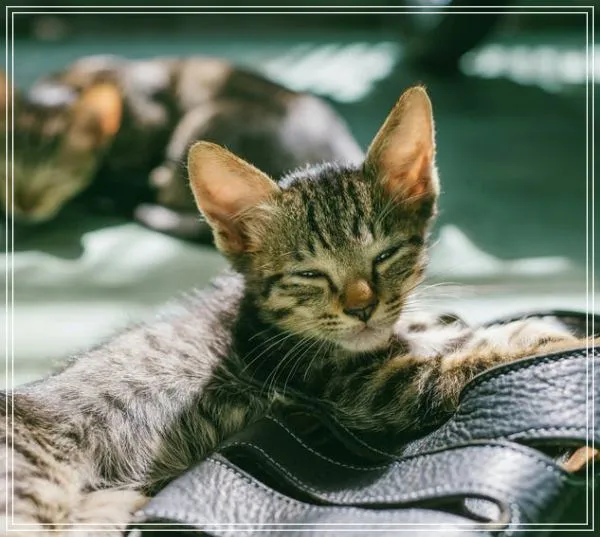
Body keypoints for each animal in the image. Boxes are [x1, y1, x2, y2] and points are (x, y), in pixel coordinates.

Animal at [1, 86, 593, 536]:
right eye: (309, 275)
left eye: (385, 256)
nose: (362, 307)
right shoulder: (365, 389)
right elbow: (469, 353)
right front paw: (557, 335)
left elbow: (453, 333)